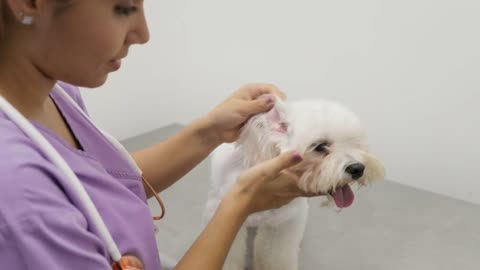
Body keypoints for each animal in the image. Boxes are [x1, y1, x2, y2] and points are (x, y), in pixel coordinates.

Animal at [204, 96, 384, 268]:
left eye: (355, 143)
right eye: (320, 146)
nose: (358, 168)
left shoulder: (282, 224)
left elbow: (275, 259)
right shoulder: (225, 219)